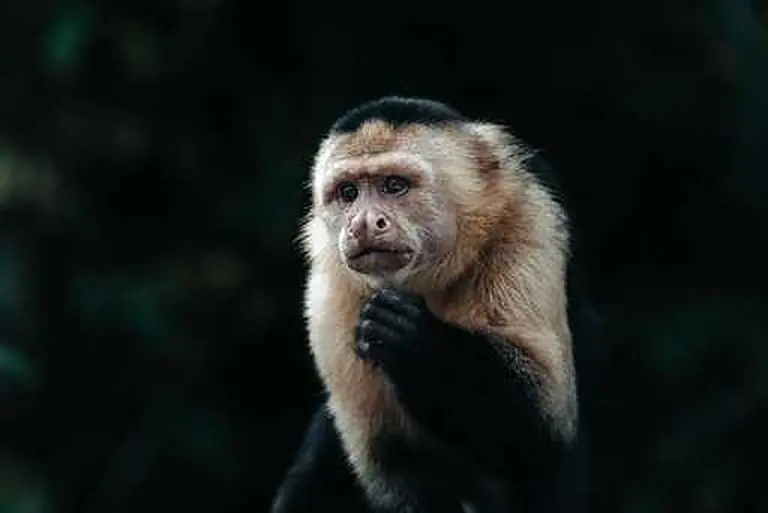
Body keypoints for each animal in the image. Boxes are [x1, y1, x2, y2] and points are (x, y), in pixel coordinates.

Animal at [270, 96, 591, 513]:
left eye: (394, 185)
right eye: (348, 193)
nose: (363, 223)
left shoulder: (530, 221)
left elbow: (542, 434)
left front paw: (411, 337)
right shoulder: (330, 284)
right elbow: (395, 466)